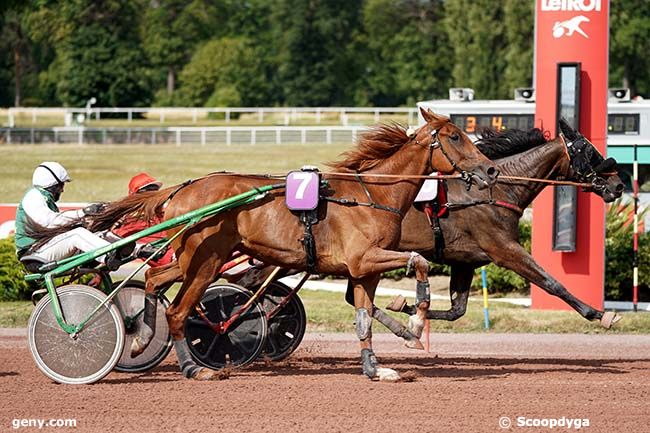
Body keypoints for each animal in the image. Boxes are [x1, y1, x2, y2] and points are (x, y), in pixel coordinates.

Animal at [87, 109, 496, 380]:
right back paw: (192, 367)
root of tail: (181, 190)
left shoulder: (364, 271)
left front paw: (375, 368)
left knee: (155, 279)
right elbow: (419, 262)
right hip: (205, 261)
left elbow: (363, 316)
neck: (373, 196)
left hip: (194, 258)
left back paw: (140, 339)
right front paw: (414, 324)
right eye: (455, 136)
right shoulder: (366, 259)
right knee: (177, 311)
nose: (490, 170)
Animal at [382, 118, 624, 338]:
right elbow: (552, 284)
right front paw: (599, 314)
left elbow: (456, 311)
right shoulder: (505, 250)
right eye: (591, 152)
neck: (493, 192)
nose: (619, 185)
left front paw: (406, 308)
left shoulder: (464, 261)